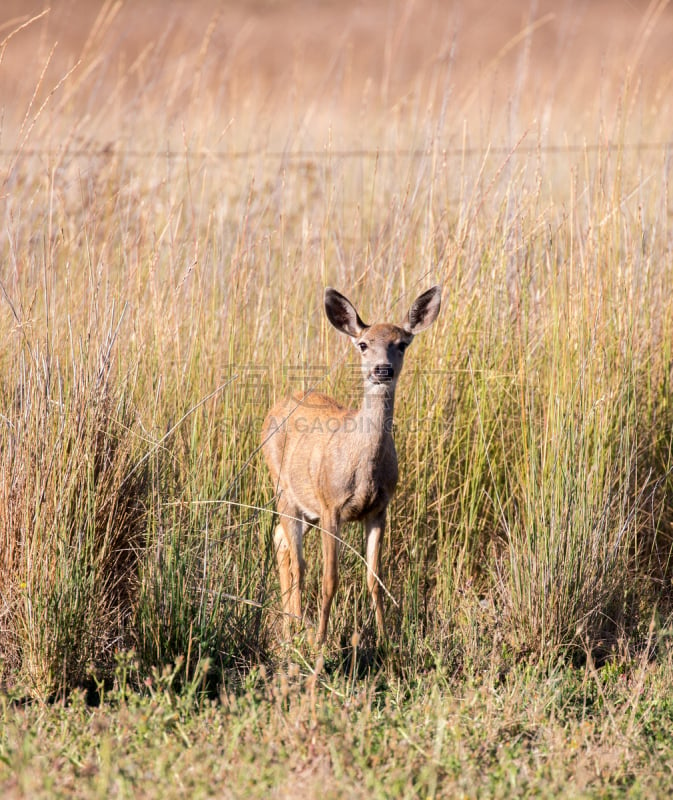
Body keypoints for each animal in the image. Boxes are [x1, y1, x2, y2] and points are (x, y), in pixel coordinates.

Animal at [262, 284, 440, 640]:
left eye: (402, 343)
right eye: (363, 344)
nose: (382, 370)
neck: (363, 467)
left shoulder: (379, 509)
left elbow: (375, 579)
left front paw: (385, 639)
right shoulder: (331, 506)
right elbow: (330, 579)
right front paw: (320, 639)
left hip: (306, 507)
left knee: (280, 540)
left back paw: (291, 623)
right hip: (283, 488)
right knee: (297, 560)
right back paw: (295, 627)